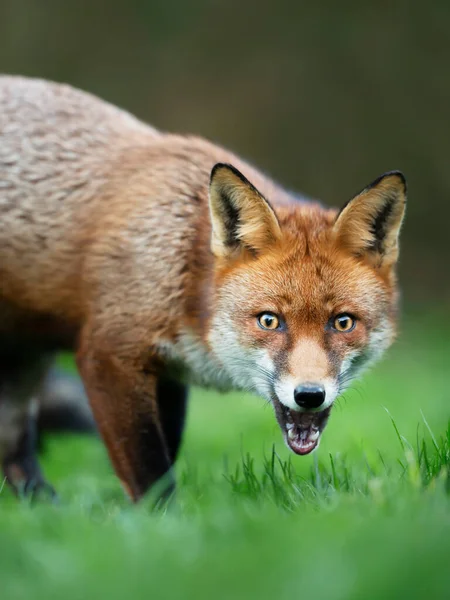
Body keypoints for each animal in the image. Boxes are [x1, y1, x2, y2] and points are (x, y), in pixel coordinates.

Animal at [0, 76, 408, 502]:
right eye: (269, 321)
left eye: (343, 322)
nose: (309, 395)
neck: (180, 268)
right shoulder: (109, 354)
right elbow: (150, 473)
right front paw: (157, 519)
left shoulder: (169, 375)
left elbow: (167, 457)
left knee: (13, 453)